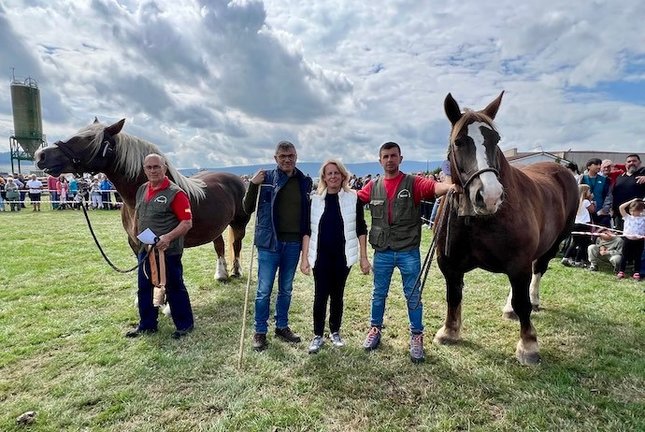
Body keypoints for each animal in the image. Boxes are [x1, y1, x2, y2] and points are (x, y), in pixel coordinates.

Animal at [34, 118, 252, 280]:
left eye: (87, 138)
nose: (40, 155)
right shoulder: (136, 243)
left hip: (239, 223)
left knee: (236, 245)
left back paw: (236, 271)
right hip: (217, 225)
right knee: (219, 245)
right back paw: (221, 274)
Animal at [436, 93, 576, 364]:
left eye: (496, 140)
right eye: (459, 142)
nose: (490, 196)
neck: (478, 222)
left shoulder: (518, 263)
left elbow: (523, 301)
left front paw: (528, 345)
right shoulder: (449, 265)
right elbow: (453, 295)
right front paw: (449, 331)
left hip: (552, 244)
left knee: (537, 272)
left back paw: (533, 300)